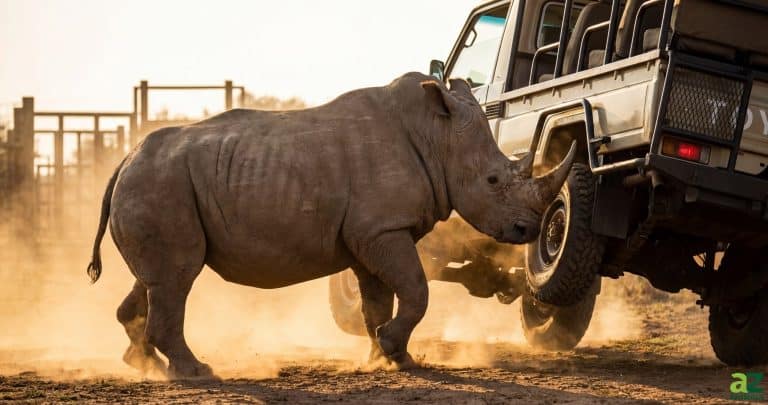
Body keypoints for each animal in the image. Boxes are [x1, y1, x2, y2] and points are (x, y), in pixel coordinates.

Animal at [86, 72, 575, 379]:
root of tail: (123, 162)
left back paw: (146, 366)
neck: (437, 136)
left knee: (156, 279)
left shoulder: (369, 234)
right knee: (177, 277)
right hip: (159, 185)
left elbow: (376, 301)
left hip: (155, 185)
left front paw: (387, 358)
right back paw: (197, 373)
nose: (528, 230)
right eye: (493, 180)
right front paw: (394, 351)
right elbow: (417, 289)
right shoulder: (381, 229)